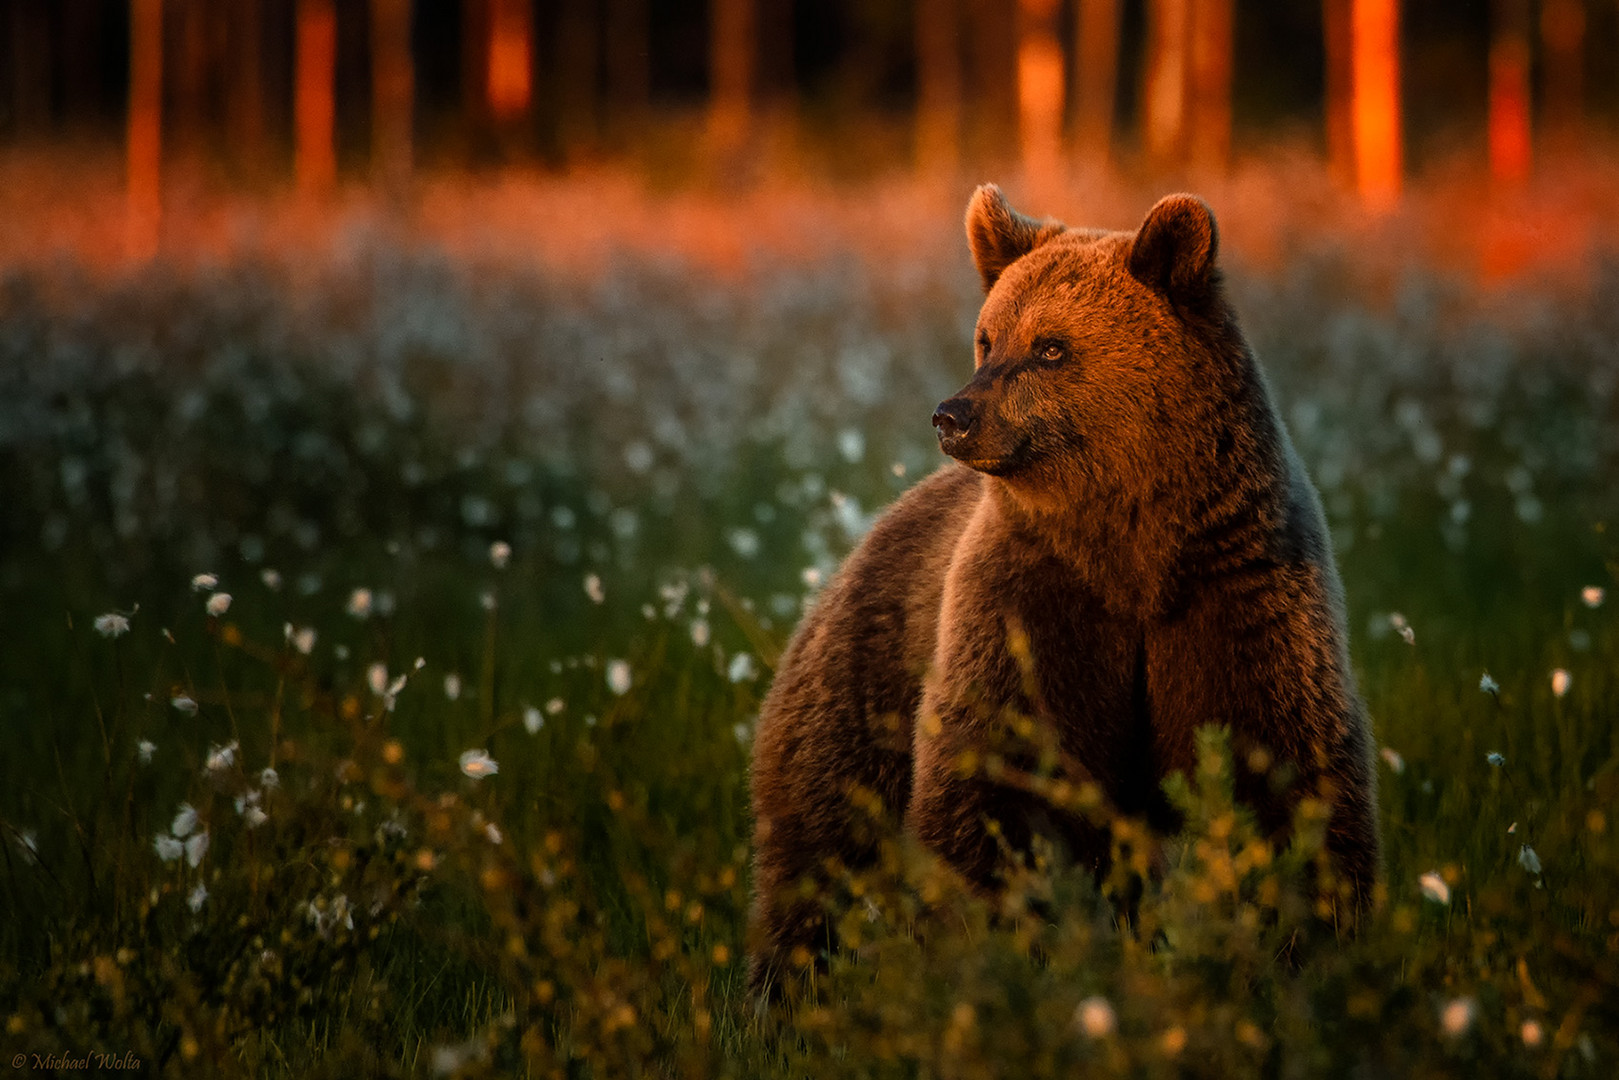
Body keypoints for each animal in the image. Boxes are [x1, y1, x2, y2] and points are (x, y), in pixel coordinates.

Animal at [744, 183, 1379, 997]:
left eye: (1050, 347)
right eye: (987, 339)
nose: (952, 416)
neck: (1134, 551)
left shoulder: (1239, 588)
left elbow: (1283, 771)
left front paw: (1306, 944)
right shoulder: (1034, 598)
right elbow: (998, 777)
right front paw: (995, 946)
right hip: (866, 671)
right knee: (822, 837)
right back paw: (787, 986)